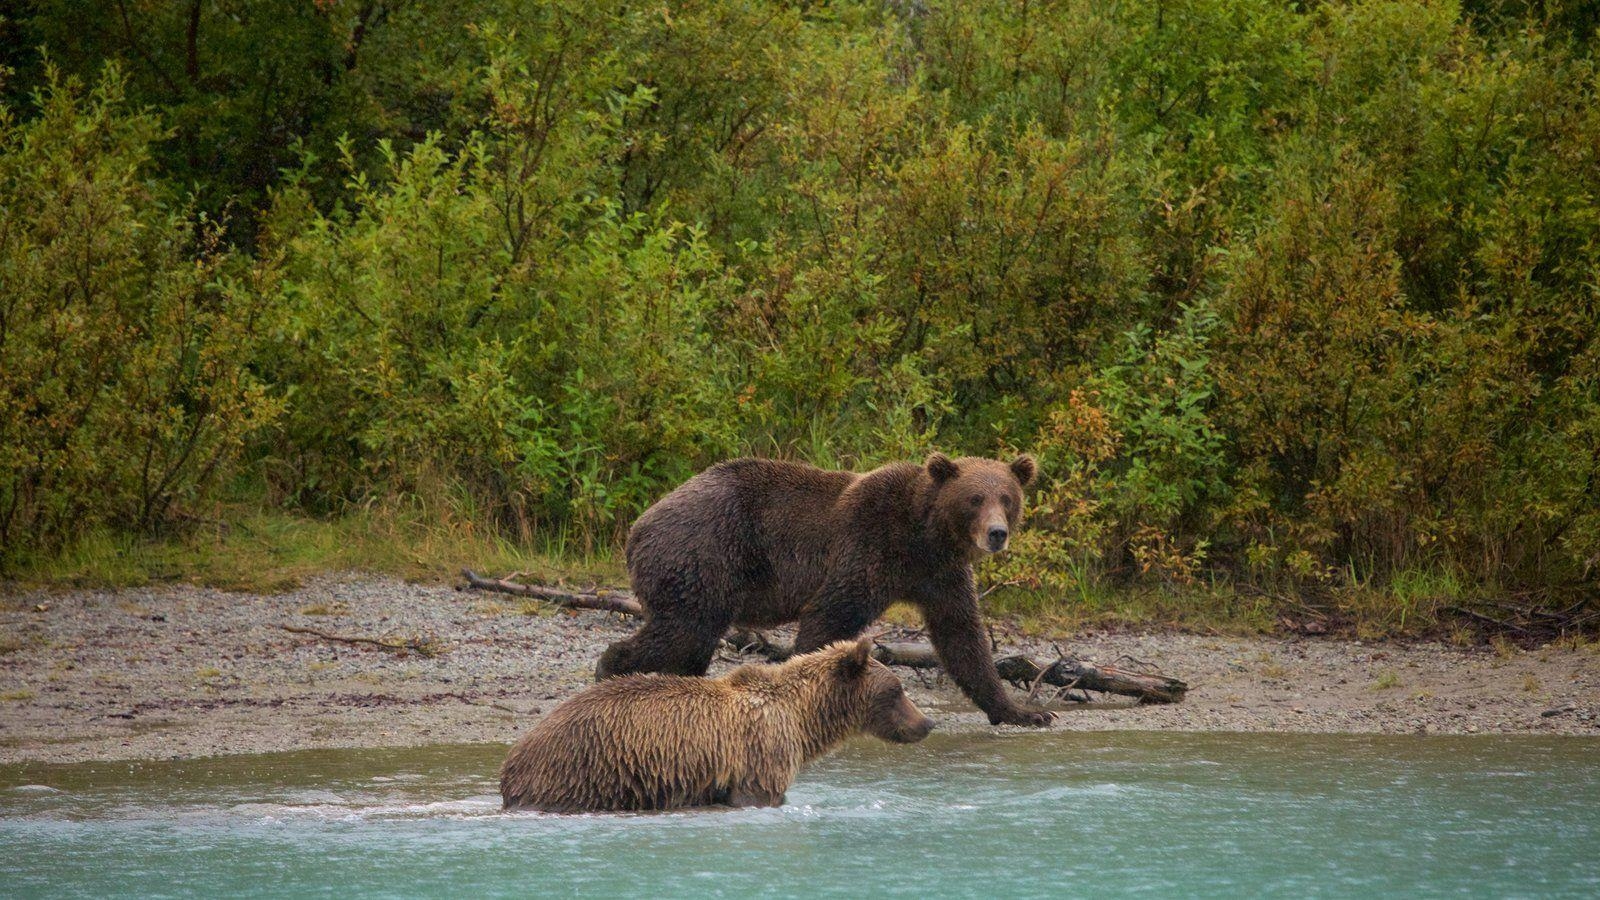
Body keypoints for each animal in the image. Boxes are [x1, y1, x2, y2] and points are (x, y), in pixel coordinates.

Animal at [595, 451, 1056, 723]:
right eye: (975, 498)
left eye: (1007, 497)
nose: (996, 533)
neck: (923, 535)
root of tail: (638, 528)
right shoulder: (869, 545)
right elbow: (830, 615)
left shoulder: (940, 575)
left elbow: (962, 636)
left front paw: (1023, 712)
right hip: (704, 555)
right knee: (683, 631)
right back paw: (612, 668)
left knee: (689, 641)